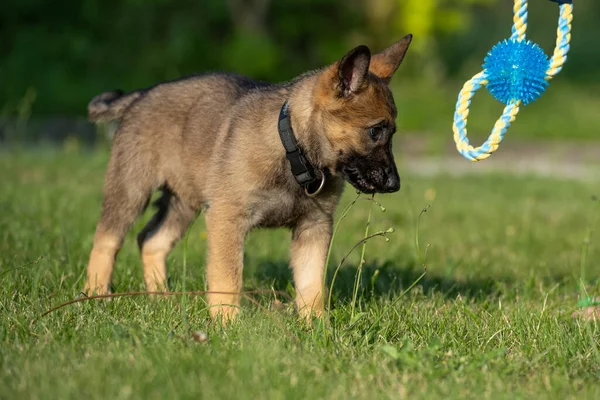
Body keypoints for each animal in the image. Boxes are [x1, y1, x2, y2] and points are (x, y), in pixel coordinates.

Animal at [84, 34, 412, 322]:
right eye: (375, 131)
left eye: (392, 133)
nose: (395, 185)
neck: (295, 151)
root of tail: (142, 95)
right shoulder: (227, 219)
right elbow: (227, 278)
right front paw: (226, 324)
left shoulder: (314, 227)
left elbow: (312, 283)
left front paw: (317, 327)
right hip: (131, 188)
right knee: (107, 240)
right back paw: (96, 294)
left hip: (184, 201)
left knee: (152, 241)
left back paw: (161, 298)